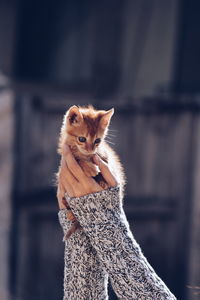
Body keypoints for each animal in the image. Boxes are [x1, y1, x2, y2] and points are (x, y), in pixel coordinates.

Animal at [56, 105, 125, 239]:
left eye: (97, 140)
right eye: (82, 139)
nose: (91, 150)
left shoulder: (107, 159)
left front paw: (102, 181)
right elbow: (79, 160)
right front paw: (90, 168)